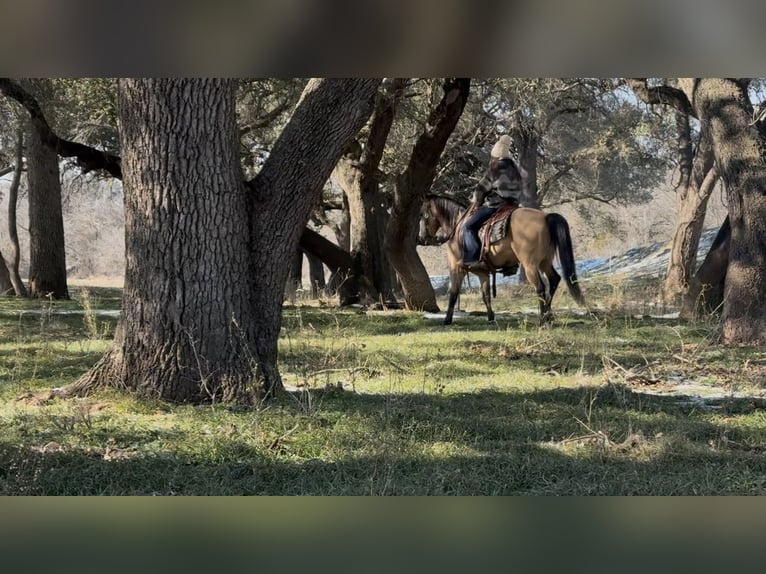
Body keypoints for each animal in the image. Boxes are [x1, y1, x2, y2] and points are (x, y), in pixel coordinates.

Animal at [419, 194, 586, 325]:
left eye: (422, 214)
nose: (423, 237)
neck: (458, 226)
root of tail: (545, 217)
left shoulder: (455, 268)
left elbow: (453, 294)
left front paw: (447, 320)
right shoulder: (483, 273)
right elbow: (486, 295)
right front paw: (491, 317)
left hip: (530, 265)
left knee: (540, 288)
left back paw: (542, 320)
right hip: (545, 262)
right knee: (554, 280)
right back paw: (549, 317)